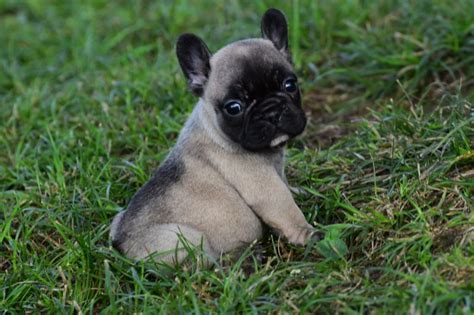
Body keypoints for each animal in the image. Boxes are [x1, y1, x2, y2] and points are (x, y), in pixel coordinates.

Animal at [111, 8, 314, 266]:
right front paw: (310, 235)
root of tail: (121, 243)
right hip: (183, 238)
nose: (272, 111)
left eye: (290, 85)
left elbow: (287, 186)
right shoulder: (265, 188)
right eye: (234, 107)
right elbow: (287, 210)